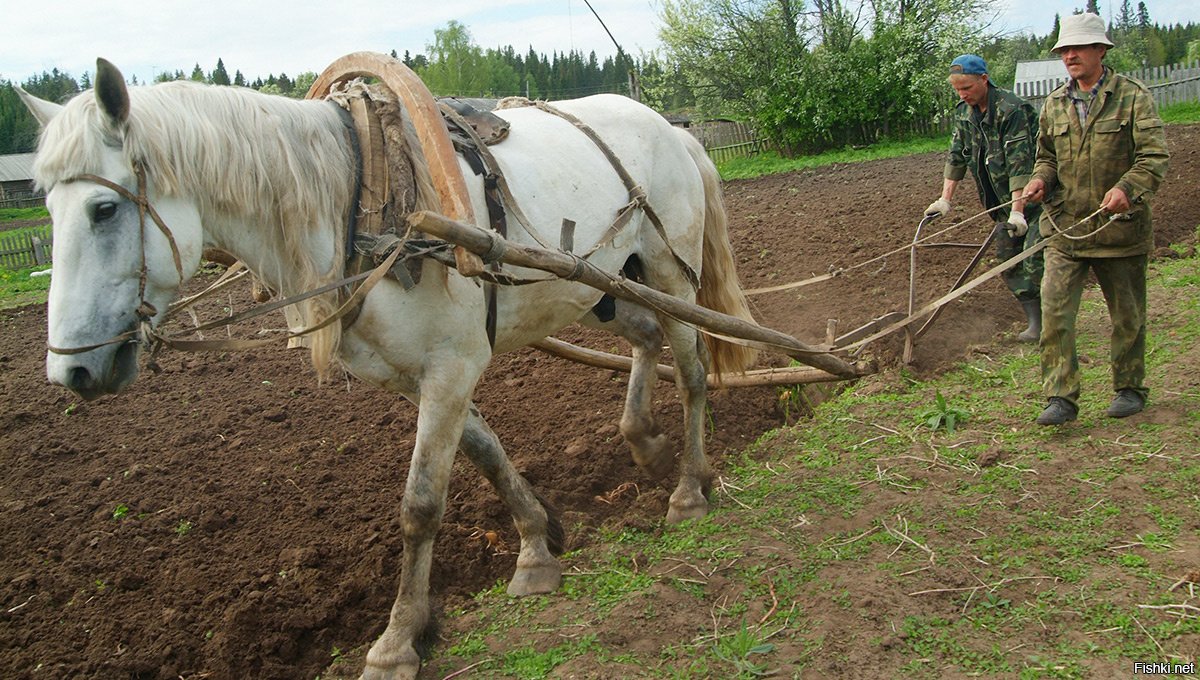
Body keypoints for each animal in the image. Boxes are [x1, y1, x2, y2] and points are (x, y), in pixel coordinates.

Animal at [21, 59, 758, 680]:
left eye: (105, 209)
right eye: (47, 209)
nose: (70, 374)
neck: (358, 206)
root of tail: (671, 129)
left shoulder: (452, 367)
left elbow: (420, 505)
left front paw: (399, 639)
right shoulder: (418, 378)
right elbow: (487, 455)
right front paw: (536, 544)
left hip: (671, 272)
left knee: (692, 370)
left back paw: (690, 487)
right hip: (600, 288)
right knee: (646, 338)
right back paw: (642, 438)